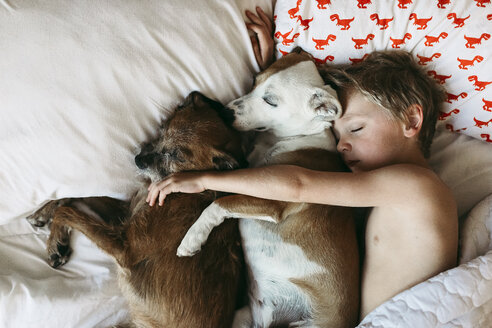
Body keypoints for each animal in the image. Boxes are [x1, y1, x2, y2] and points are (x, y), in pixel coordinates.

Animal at [26, 91, 246, 326]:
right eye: (162, 128)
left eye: (178, 156)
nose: (138, 159)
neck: (190, 192)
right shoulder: (126, 211)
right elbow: (74, 198)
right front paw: (43, 216)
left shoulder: (125, 246)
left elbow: (68, 211)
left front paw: (54, 242)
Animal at [177, 50, 358, 326]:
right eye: (255, 79)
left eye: (271, 101)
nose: (226, 113)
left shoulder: (274, 200)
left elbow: (220, 203)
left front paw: (193, 237)